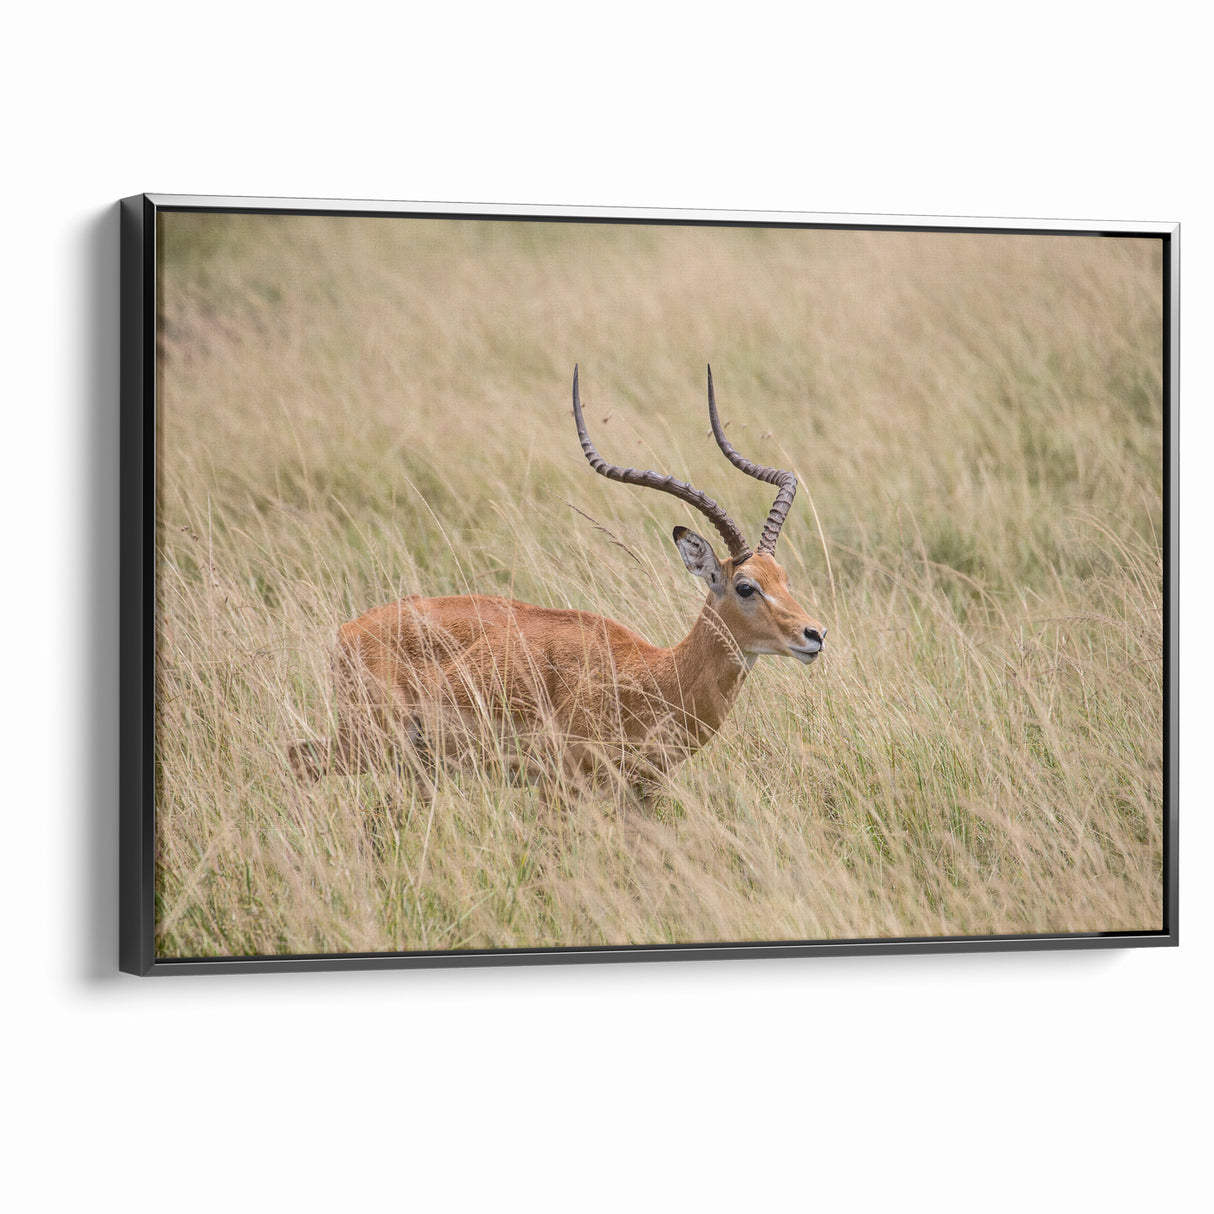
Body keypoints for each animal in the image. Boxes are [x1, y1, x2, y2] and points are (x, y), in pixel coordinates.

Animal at [289, 366, 826, 802]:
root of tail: (349, 630)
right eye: (745, 587)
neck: (650, 676)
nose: (814, 635)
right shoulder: (562, 787)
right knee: (298, 760)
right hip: (371, 742)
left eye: (783, 577)